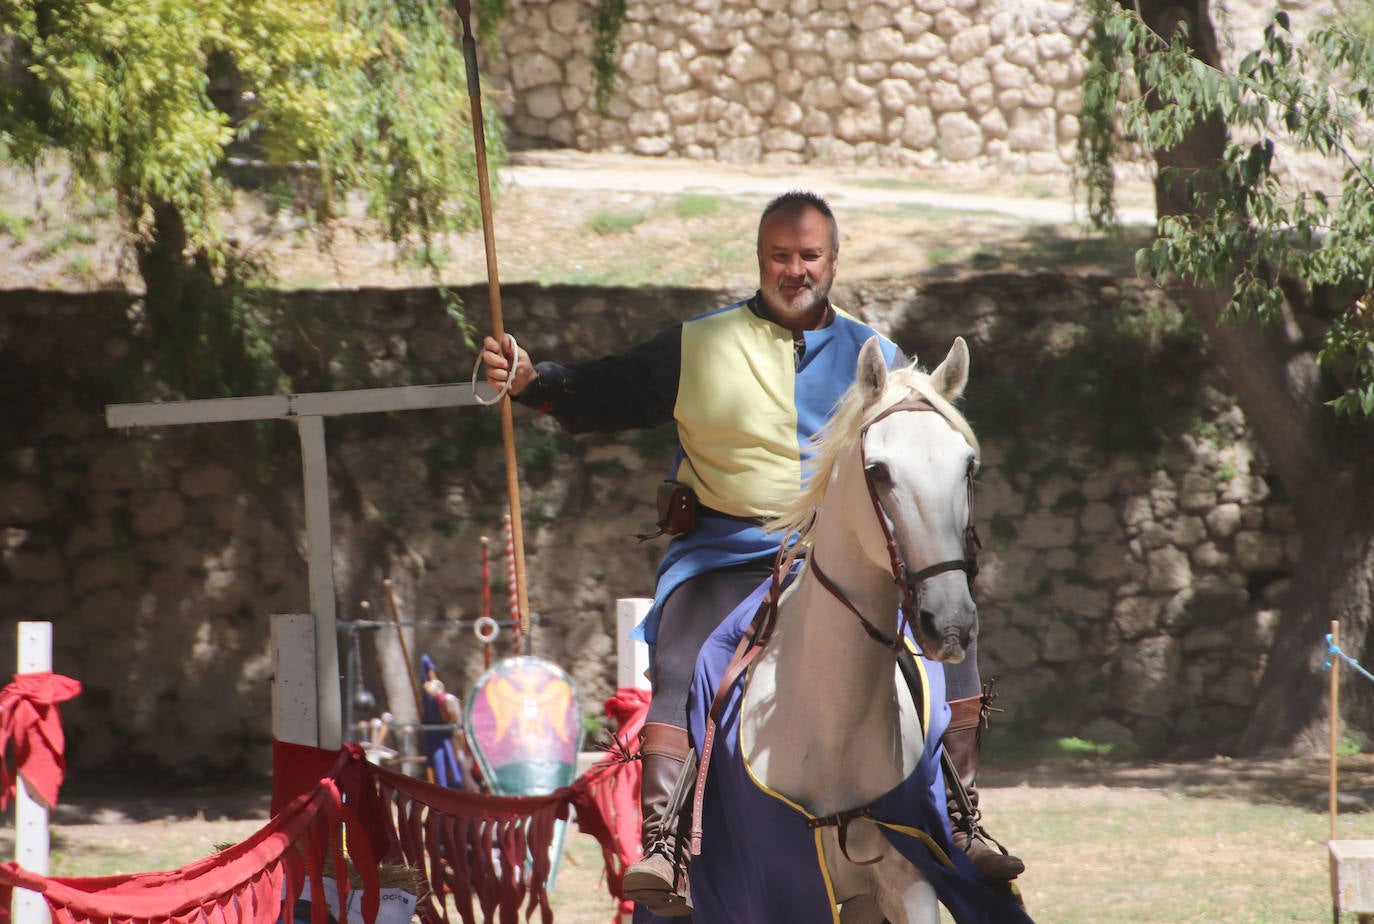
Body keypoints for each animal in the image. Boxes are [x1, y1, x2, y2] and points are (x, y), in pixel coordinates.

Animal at [687, 335, 1011, 924]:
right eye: (878, 471)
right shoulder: (768, 891)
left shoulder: (908, 883)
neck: (830, 725)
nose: (950, 623)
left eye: (968, 468)